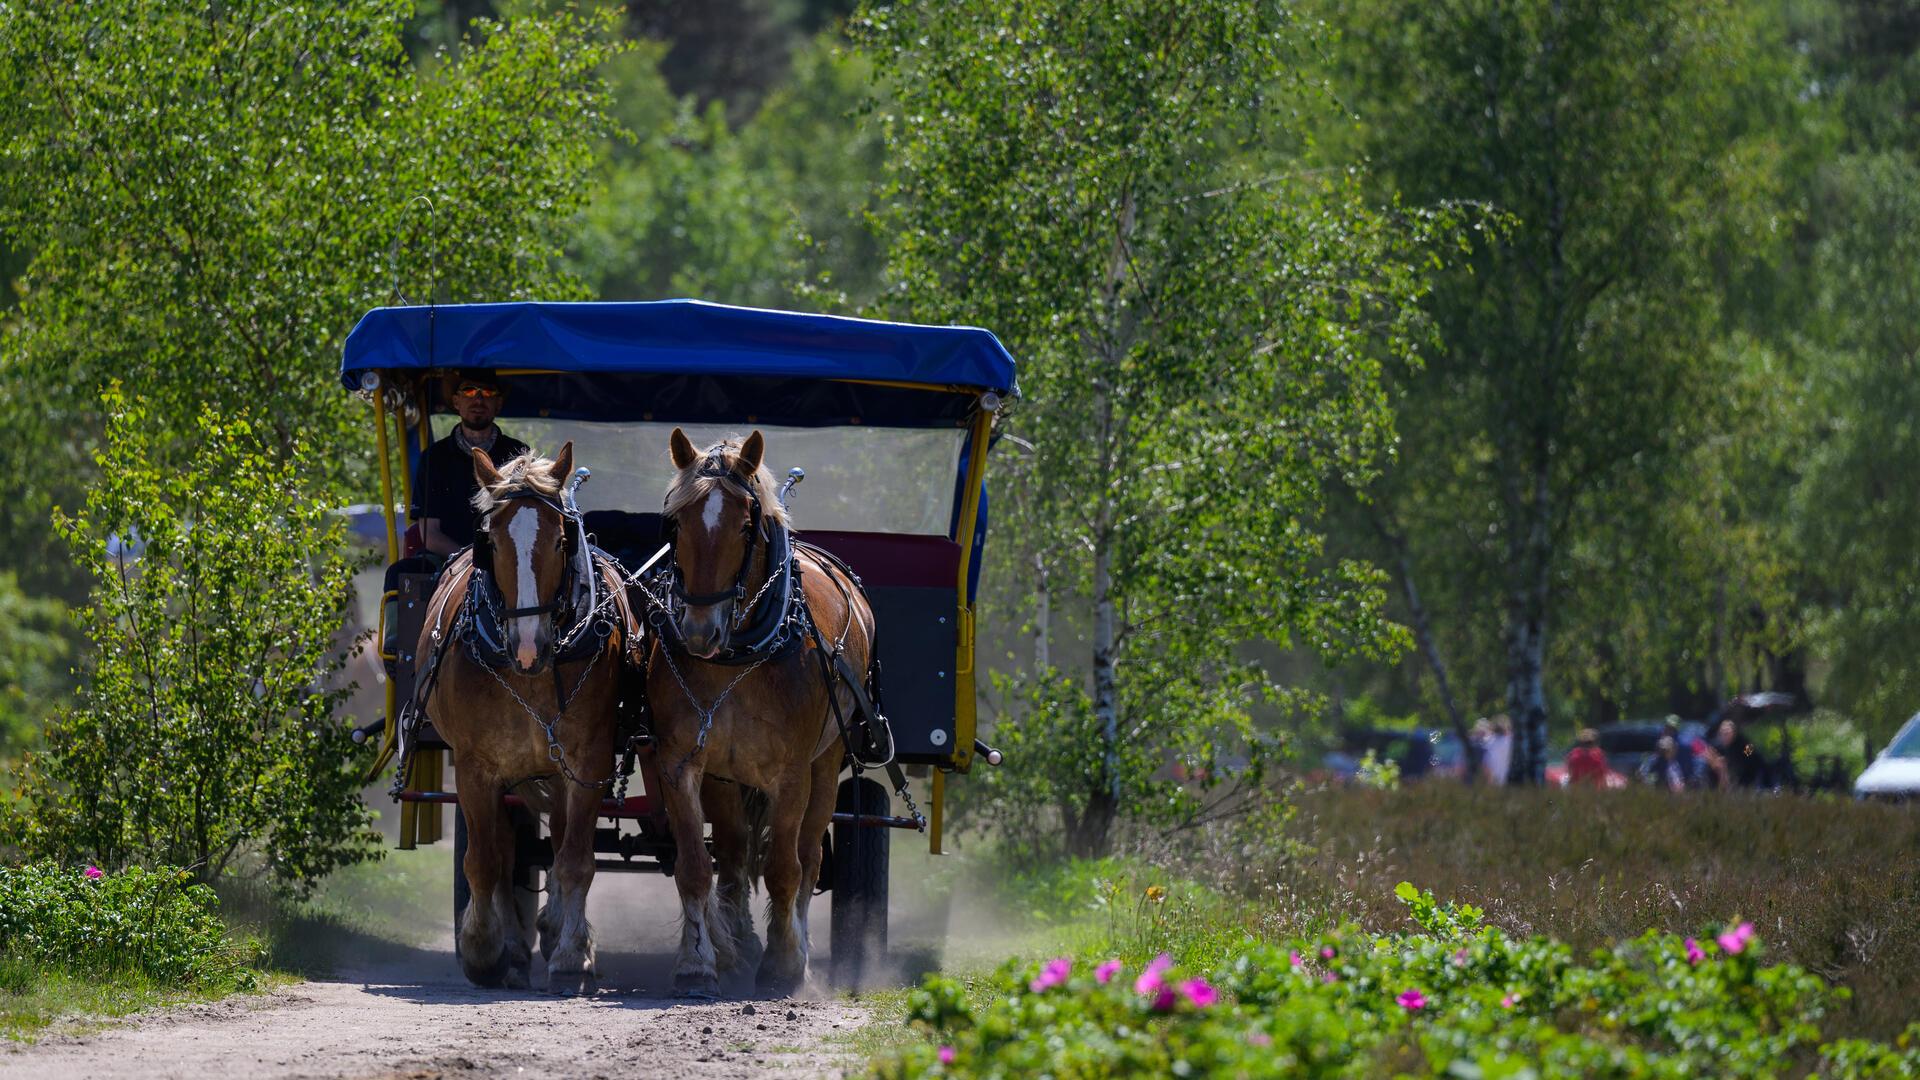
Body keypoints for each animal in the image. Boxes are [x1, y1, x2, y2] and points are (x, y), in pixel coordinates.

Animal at [416, 441, 633, 991]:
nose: (529, 646)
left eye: (560, 540)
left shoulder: (588, 763)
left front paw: (572, 954)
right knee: (507, 852)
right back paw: (513, 945)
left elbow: (575, 860)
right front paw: (482, 948)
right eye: (490, 542)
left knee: (556, 845)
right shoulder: (476, 769)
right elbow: (485, 861)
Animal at [652, 426, 879, 991]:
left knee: (810, 854)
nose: (698, 632)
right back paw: (737, 942)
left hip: (827, 761)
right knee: (733, 856)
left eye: (744, 524)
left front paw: (784, 962)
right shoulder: (681, 764)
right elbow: (696, 866)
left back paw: (796, 943)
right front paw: (697, 961)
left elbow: (784, 866)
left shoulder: (792, 773)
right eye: (676, 520)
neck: (738, 655)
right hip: (726, 779)